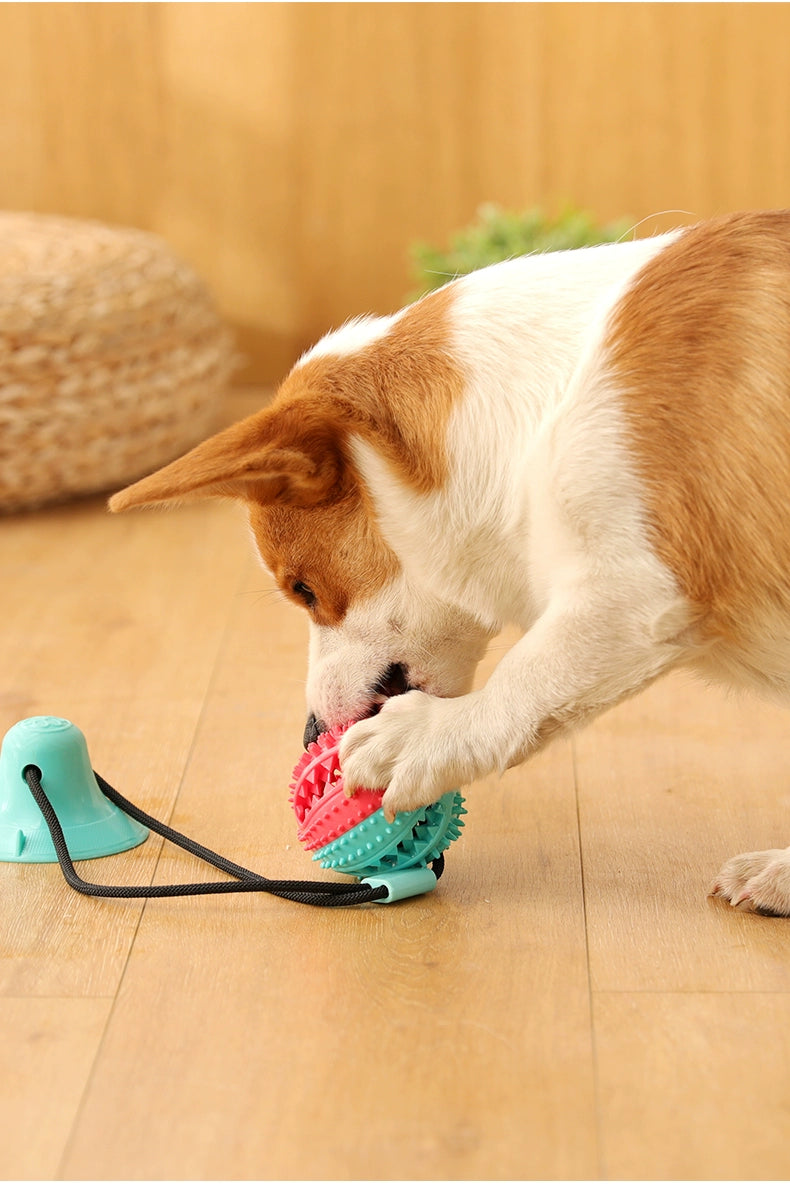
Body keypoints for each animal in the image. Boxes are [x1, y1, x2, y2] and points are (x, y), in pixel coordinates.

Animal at [109, 211, 787, 915]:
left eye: (303, 589)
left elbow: (530, 677)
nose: (310, 733)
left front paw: (424, 739)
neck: (536, 416)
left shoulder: (635, 589)